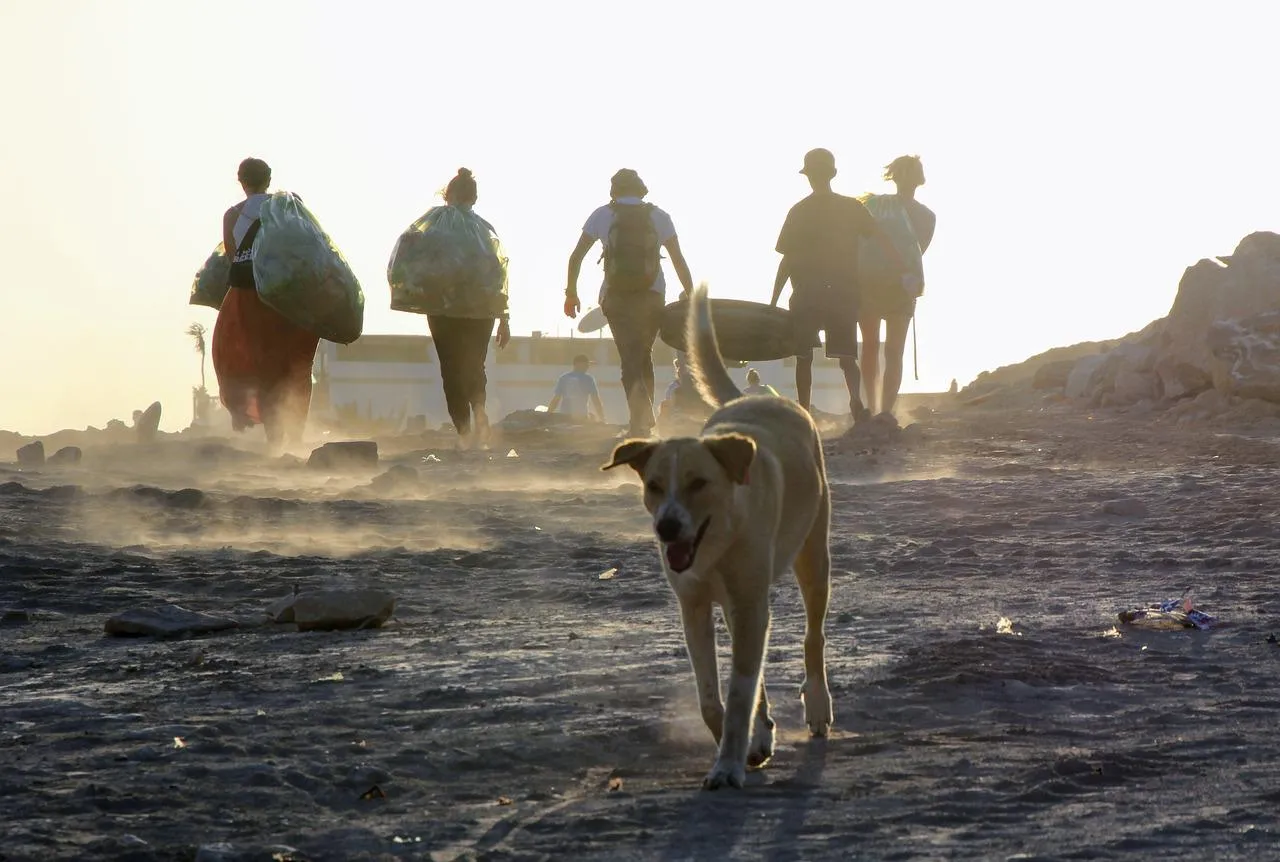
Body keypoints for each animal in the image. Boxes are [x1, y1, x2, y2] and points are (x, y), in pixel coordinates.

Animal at [604, 284, 834, 788]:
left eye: (698, 483)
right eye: (654, 485)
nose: (667, 526)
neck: (718, 539)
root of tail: (759, 398)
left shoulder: (750, 604)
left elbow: (740, 695)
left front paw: (728, 765)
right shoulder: (694, 606)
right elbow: (712, 698)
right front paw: (746, 745)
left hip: (813, 557)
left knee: (814, 637)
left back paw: (818, 707)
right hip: (737, 602)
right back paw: (763, 734)